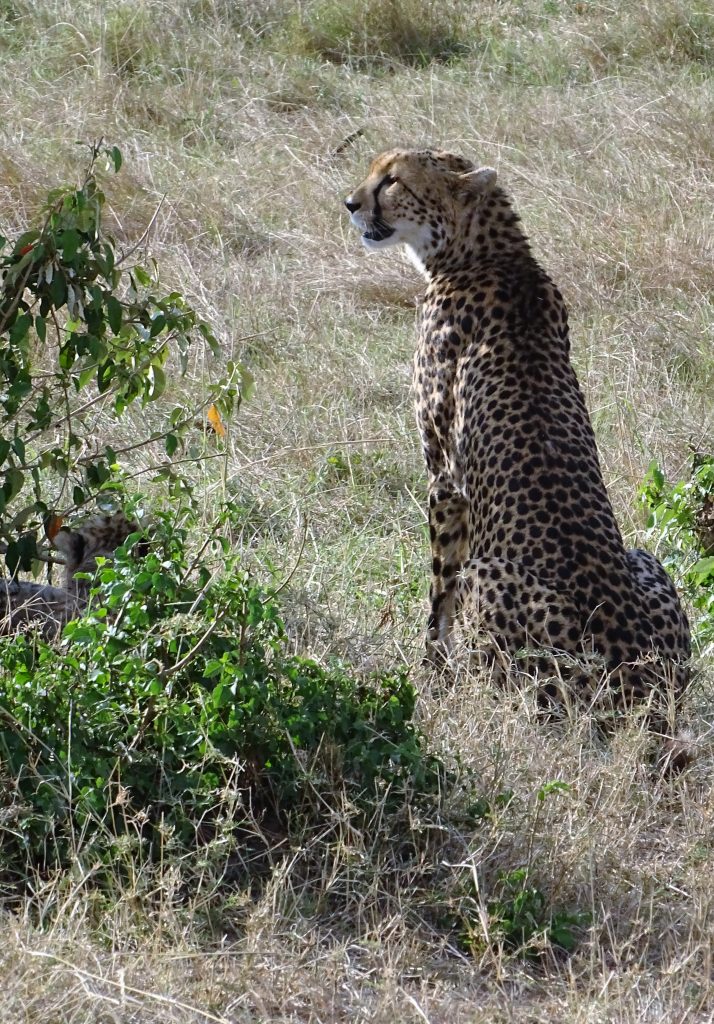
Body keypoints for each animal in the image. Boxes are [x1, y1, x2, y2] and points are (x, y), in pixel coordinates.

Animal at [346, 144, 692, 753]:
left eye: (392, 181)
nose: (350, 204)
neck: (486, 253)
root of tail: (642, 686)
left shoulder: (445, 482)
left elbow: (438, 592)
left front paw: (431, 675)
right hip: (646, 560)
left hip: (493, 580)